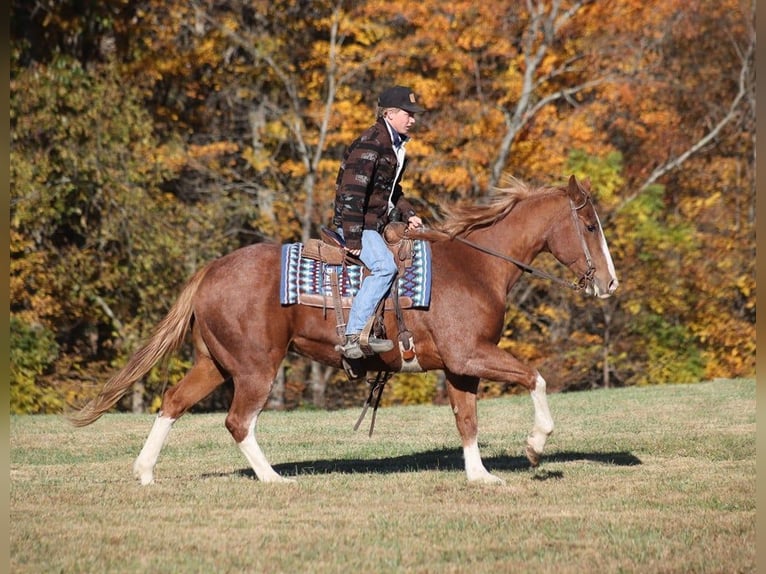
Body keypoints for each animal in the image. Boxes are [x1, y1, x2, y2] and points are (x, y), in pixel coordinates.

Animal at [70, 174, 618, 485]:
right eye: (590, 226)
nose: (610, 283)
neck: (476, 267)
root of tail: (212, 269)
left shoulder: (460, 367)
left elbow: (467, 420)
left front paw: (480, 476)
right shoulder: (471, 354)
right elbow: (535, 379)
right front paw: (535, 446)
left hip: (215, 363)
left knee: (173, 402)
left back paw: (144, 473)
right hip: (255, 367)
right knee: (238, 421)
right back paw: (273, 479)